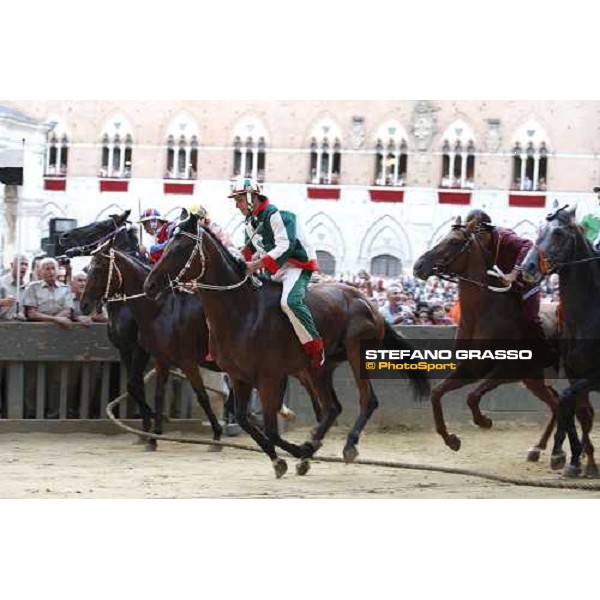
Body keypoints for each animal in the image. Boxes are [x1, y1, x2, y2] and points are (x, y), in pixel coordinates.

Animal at [143, 211, 428, 478]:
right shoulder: (238, 376)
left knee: (367, 401)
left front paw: (296, 452)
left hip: (357, 354)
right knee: (332, 408)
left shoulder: (269, 378)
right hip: (319, 367)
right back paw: (312, 447)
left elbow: (270, 428)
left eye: (179, 248)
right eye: (164, 246)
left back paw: (346, 446)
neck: (243, 310)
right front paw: (287, 457)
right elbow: (245, 420)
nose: (150, 284)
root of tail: (369, 304)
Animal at [412, 218, 564, 462]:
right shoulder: (471, 367)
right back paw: (538, 448)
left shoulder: (508, 370)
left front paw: (484, 420)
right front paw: (451, 439)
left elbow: (472, 396)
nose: (419, 266)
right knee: (556, 403)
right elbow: (437, 393)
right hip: (534, 380)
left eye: (454, 241)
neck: (482, 314)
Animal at [520, 206, 600, 478]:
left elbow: (566, 401)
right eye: (539, 229)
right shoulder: (575, 373)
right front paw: (577, 460)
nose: (528, 266)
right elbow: (577, 410)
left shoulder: (595, 376)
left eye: (558, 232)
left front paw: (561, 454)